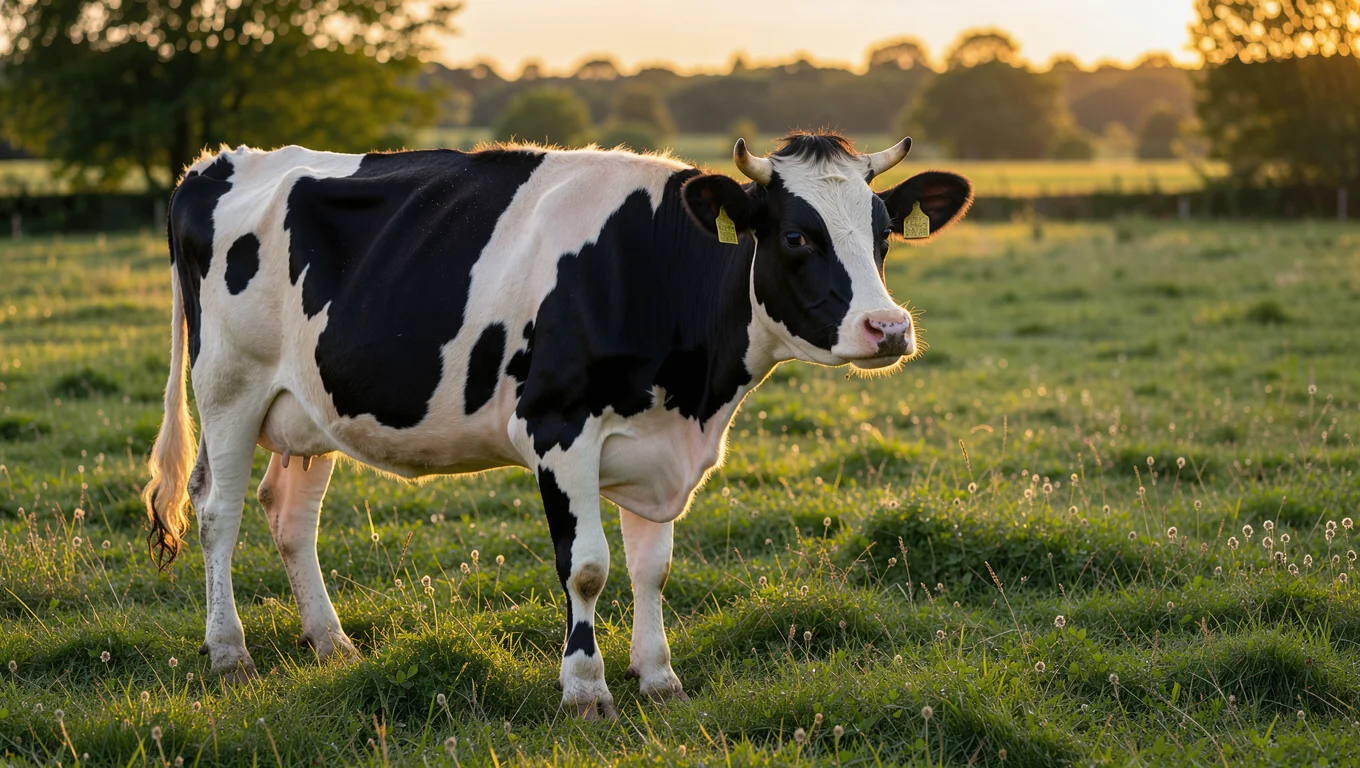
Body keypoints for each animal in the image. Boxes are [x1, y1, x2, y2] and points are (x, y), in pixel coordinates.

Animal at [142, 131, 972, 718]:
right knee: (216, 513)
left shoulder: (660, 443)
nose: (889, 328)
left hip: (311, 406)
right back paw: (229, 652)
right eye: (797, 236)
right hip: (228, 387)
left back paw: (331, 642)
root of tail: (215, 164)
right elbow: (588, 566)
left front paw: (659, 676)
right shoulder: (558, 430)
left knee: (290, 516)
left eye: (883, 233)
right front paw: (585, 689)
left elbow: (652, 567)